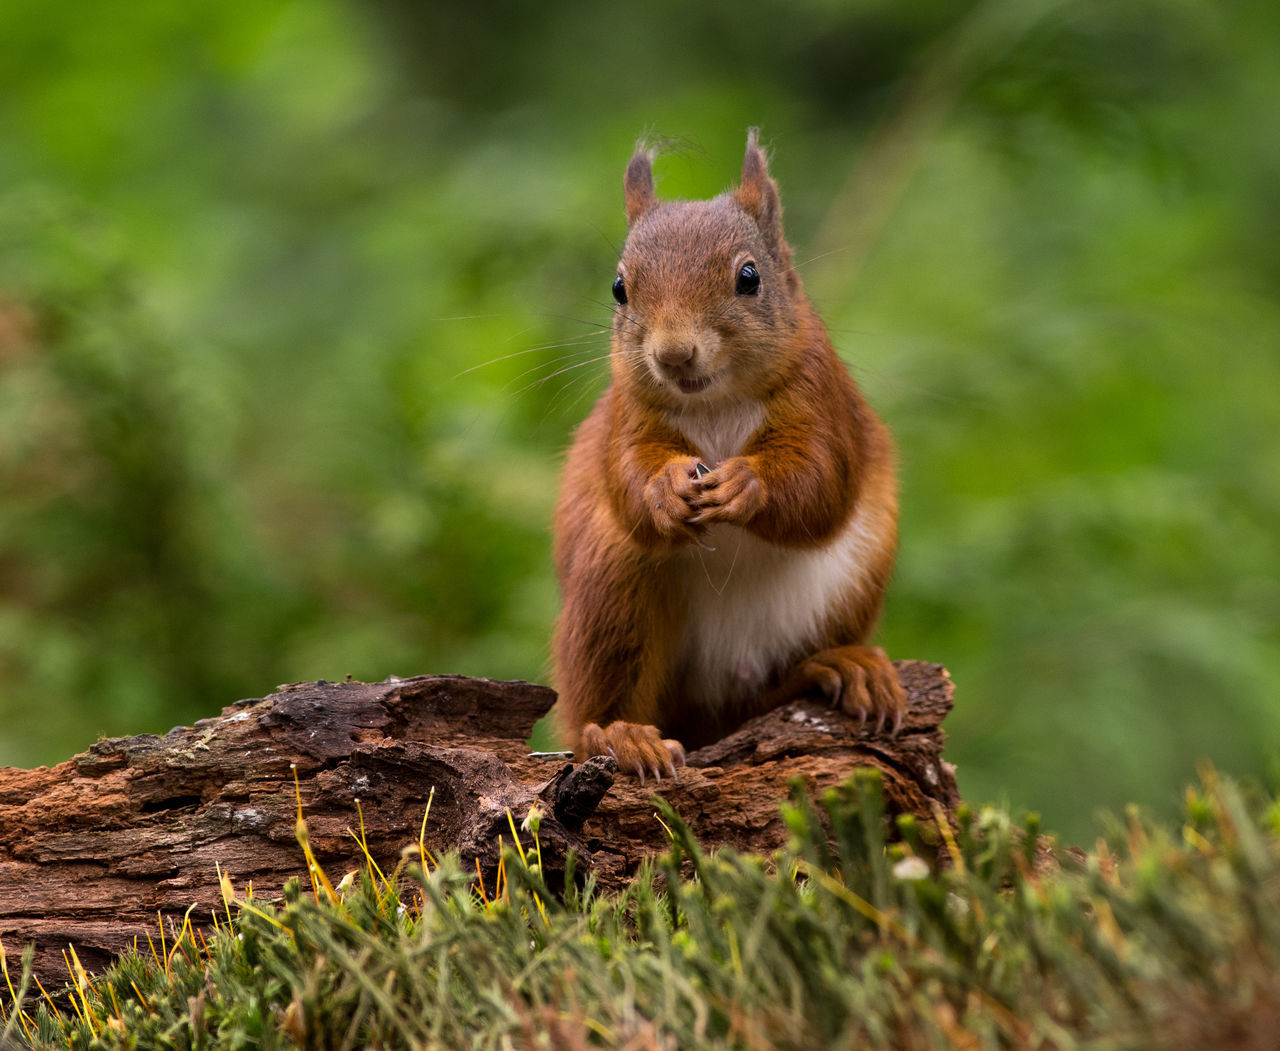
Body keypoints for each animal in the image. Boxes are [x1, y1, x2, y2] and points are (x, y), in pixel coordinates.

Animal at [555, 127, 906, 773]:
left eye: (749, 278)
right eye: (619, 288)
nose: (673, 354)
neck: (715, 402)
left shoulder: (823, 400)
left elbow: (821, 480)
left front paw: (747, 485)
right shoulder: (627, 418)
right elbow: (627, 477)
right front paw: (664, 491)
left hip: (848, 586)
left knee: (754, 702)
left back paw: (837, 667)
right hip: (612, 592)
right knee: (598, 708)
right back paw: (622, 735)